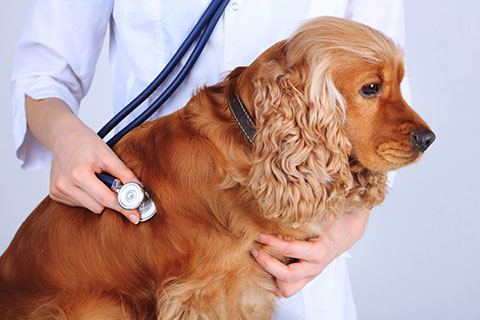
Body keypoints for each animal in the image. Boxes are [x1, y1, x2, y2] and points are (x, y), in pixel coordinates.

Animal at [0, 17, 436, 320]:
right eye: (371, 88)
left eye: (400, 83)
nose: (429, 138)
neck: (252, 145)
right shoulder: (208, 294)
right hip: (103, 306)